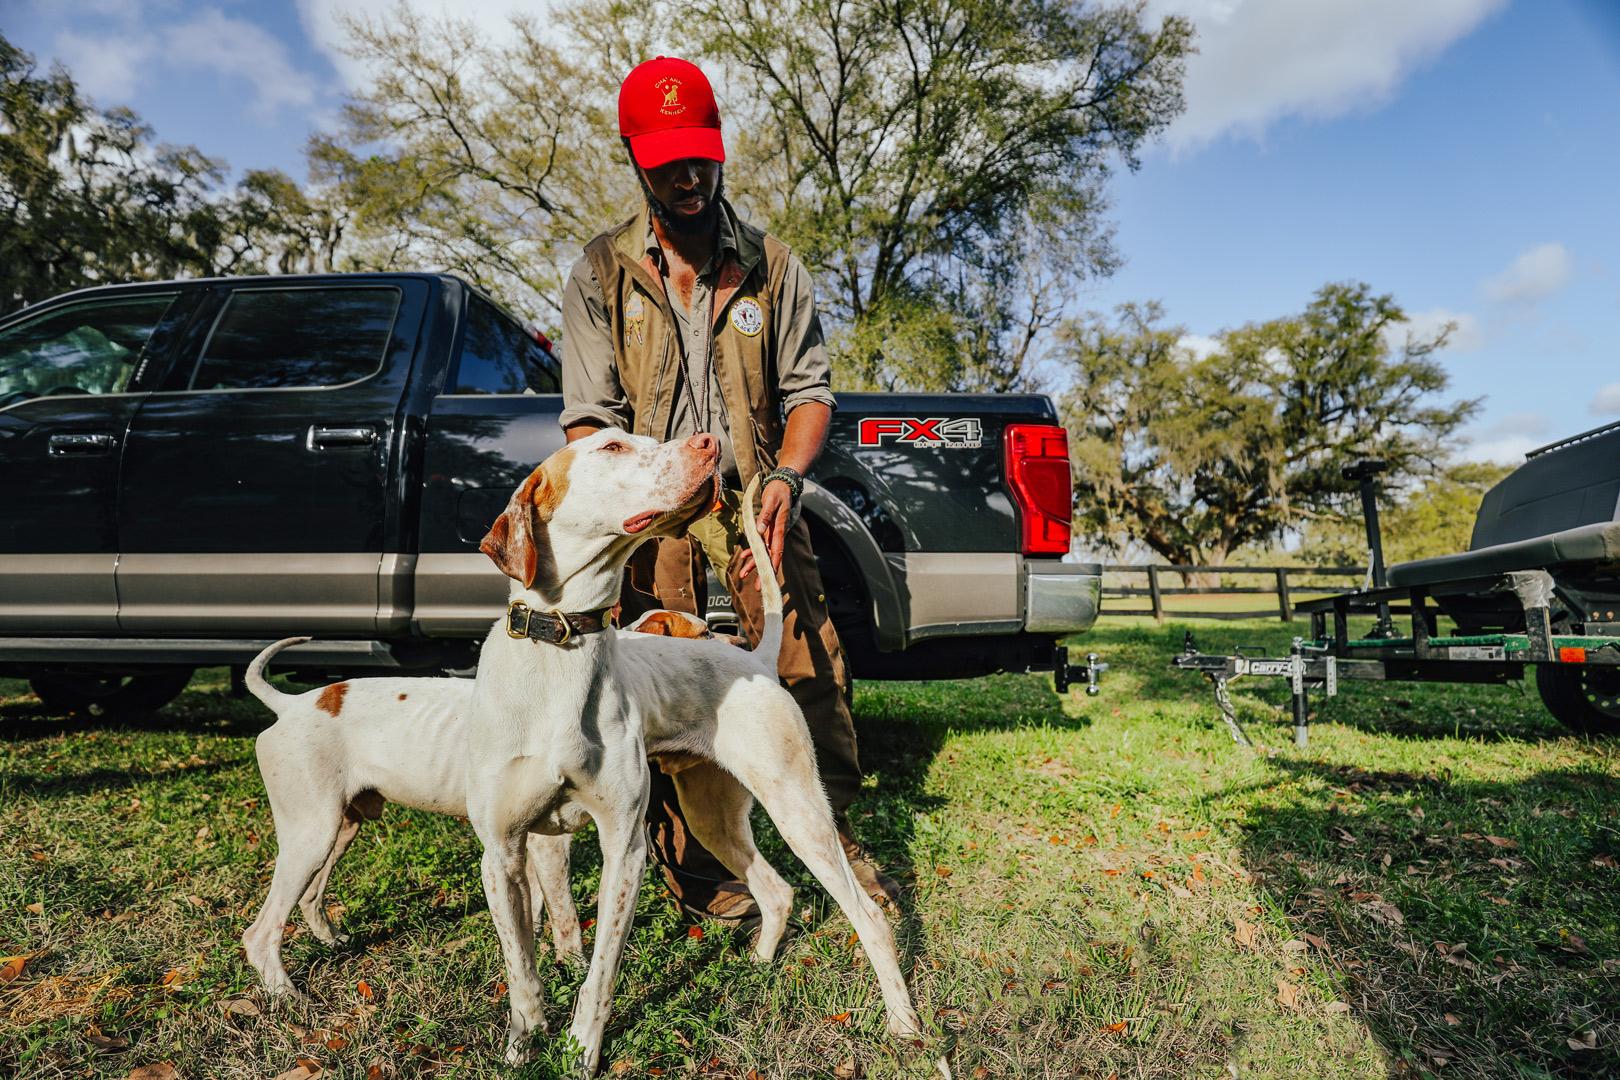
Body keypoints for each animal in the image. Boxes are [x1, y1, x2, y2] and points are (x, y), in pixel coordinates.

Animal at [463, 427, 939, 1075]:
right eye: (611, 446)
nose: (708, 443)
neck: (558, 651)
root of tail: (754, 657)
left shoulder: (625, 848)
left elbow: (600, 973)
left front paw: (582, 1050)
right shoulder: (503, 853)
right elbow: (521, 969)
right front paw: (522, 1045)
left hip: (799, 812)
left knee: (866, 916)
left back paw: (905, 1024)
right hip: (712, 816)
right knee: (776, 889)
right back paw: (761, 963)